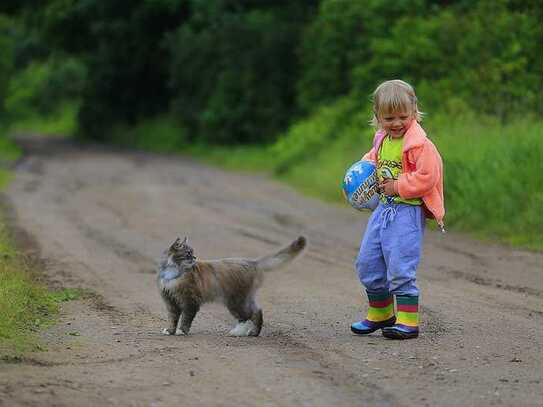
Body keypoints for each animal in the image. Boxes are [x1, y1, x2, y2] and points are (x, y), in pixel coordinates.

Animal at [157, 236, 306, 338]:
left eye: (192, 252)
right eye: (188, 253)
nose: (195, 257)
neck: (173, 272)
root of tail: (252, 262)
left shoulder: (190, 302)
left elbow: (185, 319)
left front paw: (181, 331)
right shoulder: (171, 302)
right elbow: (173, 319)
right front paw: (170, 331)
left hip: (235, 301)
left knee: (247, 316)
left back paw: (238, 332)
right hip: (244, 299)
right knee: (257, 312)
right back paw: (253, 333)